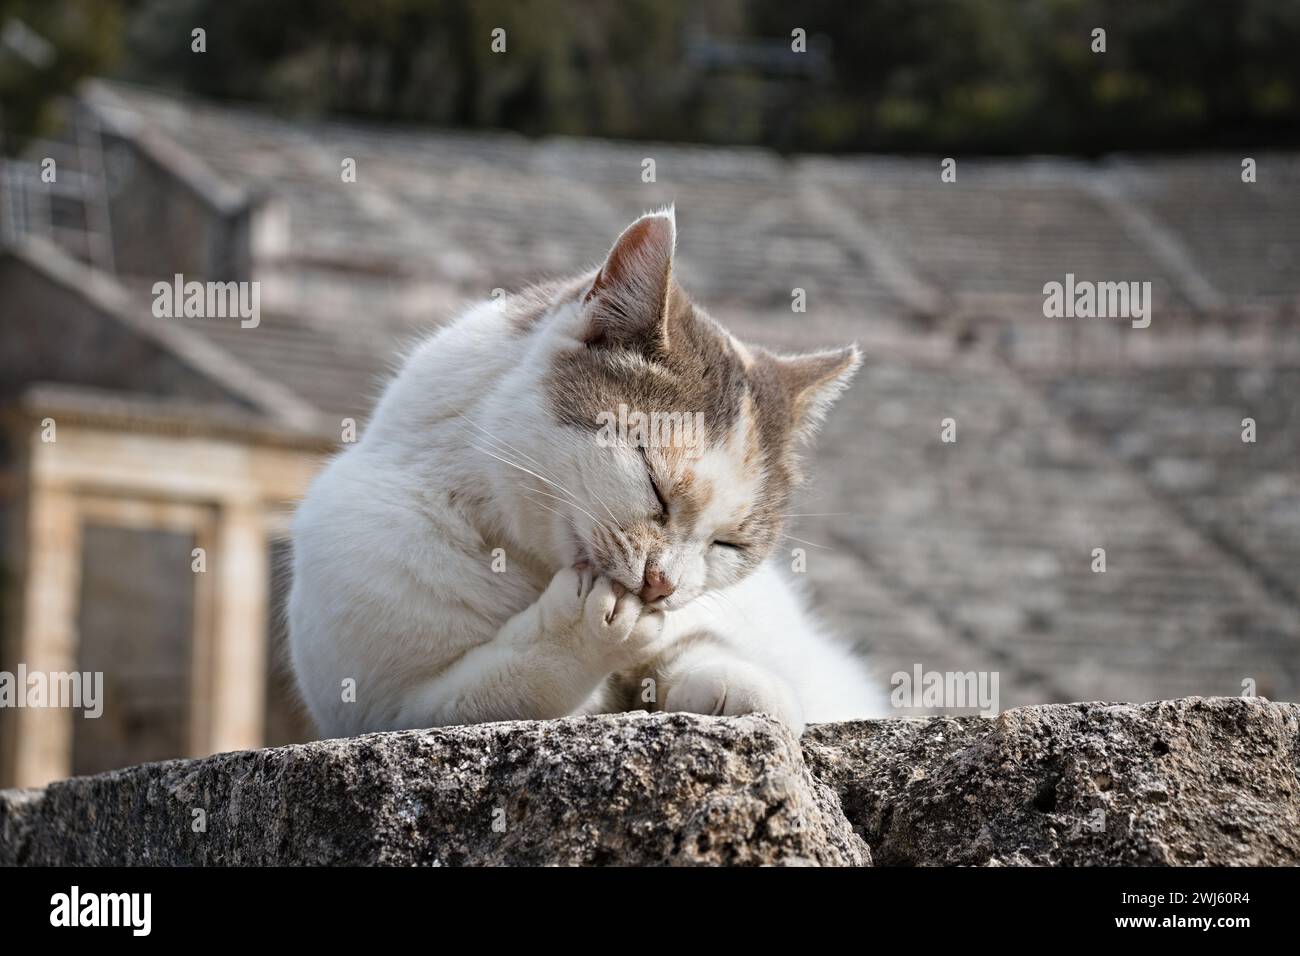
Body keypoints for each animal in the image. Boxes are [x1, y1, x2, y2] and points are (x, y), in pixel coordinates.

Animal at [289, 205, 889, 738]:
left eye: (729, 545)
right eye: (654, 487)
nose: (661, 585)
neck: (528, 565)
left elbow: (697, 650)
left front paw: (749, 691)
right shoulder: (385, 709)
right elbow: (495, 691)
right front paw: (588, 632)